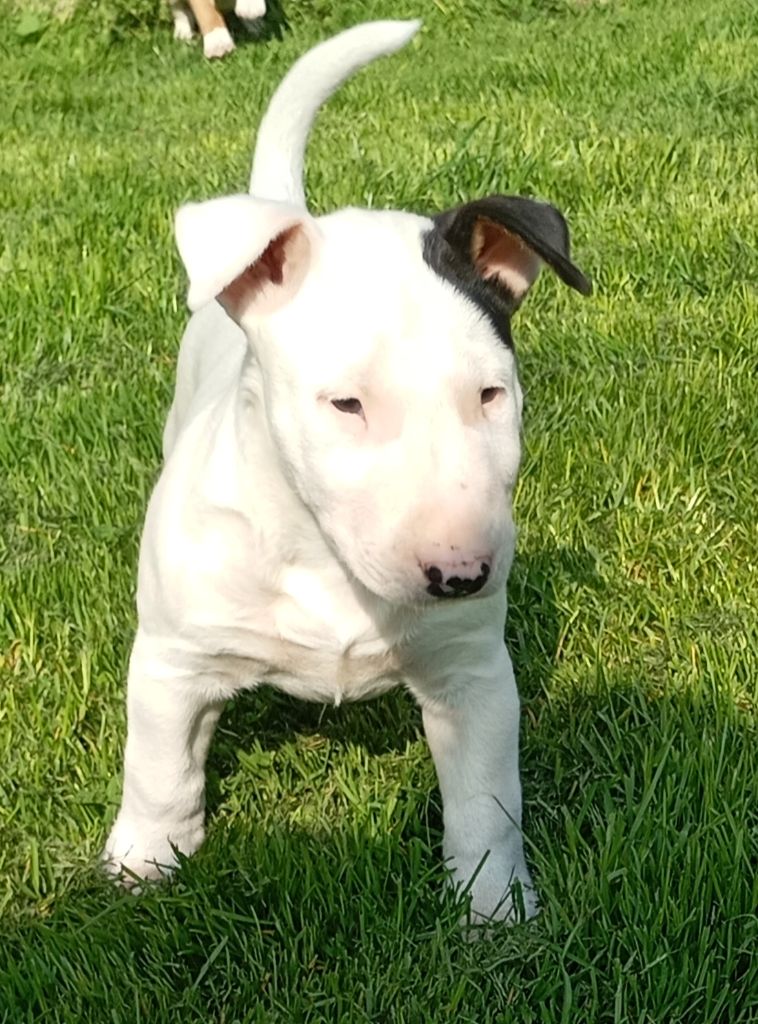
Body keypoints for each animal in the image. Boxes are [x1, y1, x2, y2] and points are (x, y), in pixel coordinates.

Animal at [104, 20, 590, 925]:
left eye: (491, 394)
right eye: (346, 404)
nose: (463, 574)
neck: (321, 557)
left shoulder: (474, 673)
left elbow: (486, 800)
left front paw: (494, 908)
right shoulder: (172, 658)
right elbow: (159, 770)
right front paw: (142, 863)